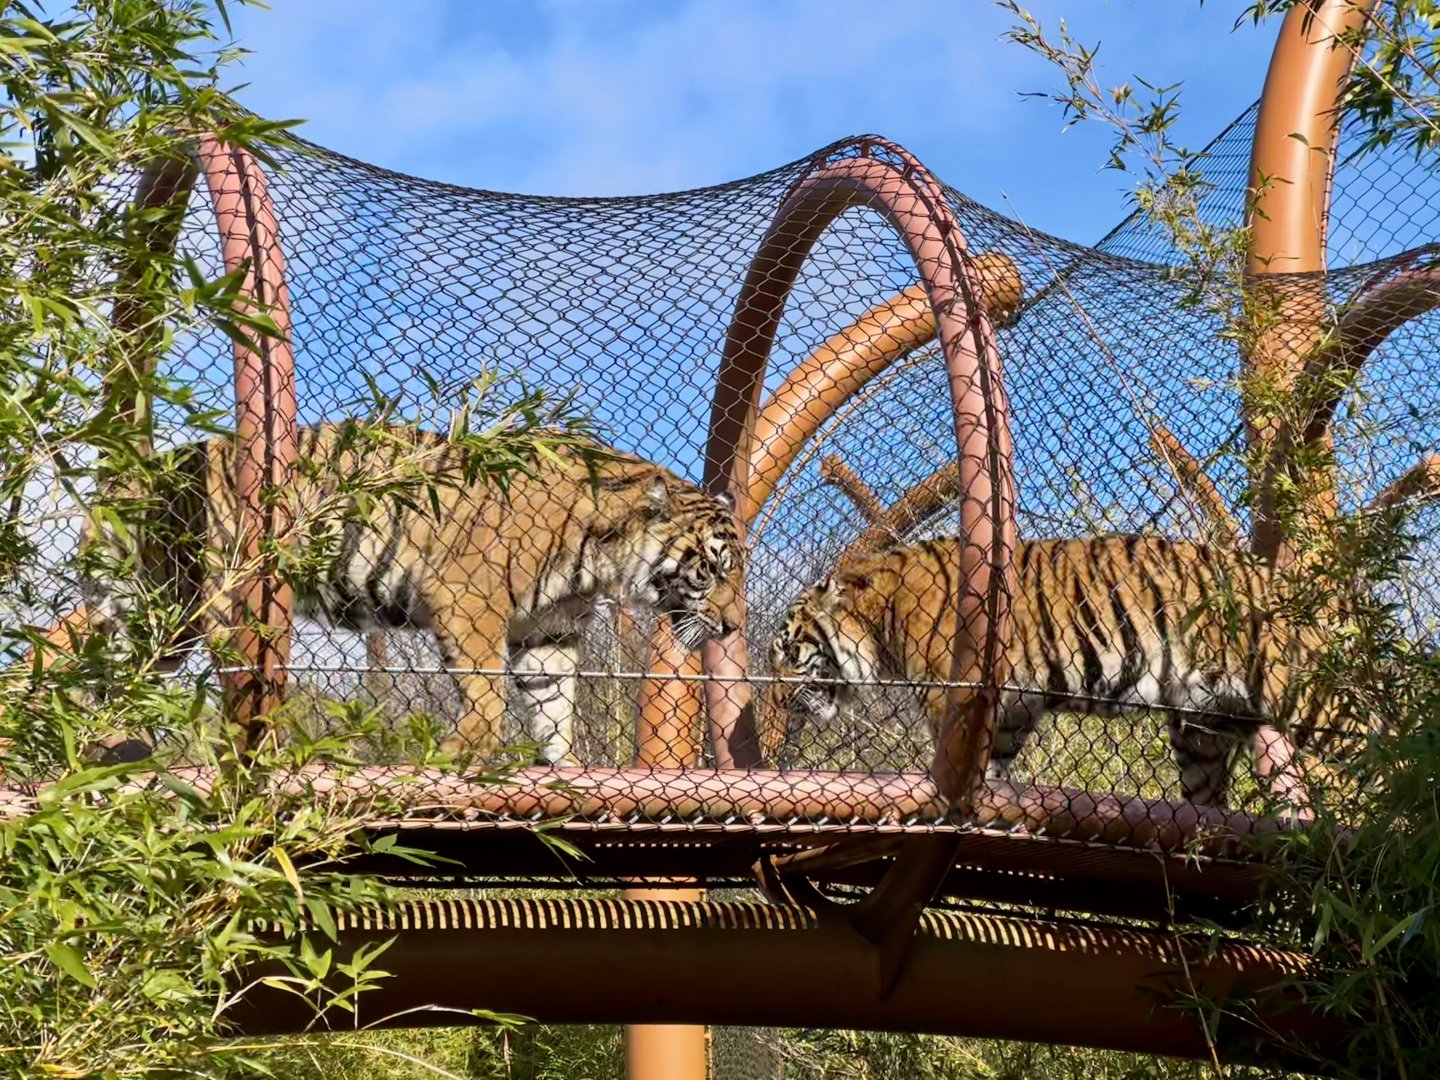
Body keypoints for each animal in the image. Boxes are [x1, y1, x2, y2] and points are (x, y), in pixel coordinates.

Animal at [79, 421, 746, 766]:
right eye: (711, 572)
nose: (734, 627)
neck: (600, 561)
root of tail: (133, 480)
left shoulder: (548, 630)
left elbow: (554, 704)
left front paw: (568, 771)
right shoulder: (470, 599)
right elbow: (488, 696)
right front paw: (457, 750)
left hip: (152, 617)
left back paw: (102, 748)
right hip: (216, 599)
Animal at [768, 534, 1362, 809]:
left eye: (790, 652)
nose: (776, 699)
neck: (880, 620)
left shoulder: (951, 694)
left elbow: (951, 756)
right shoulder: (1012, 707)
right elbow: (994, 765)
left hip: (1314, 701)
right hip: (1205, 726)